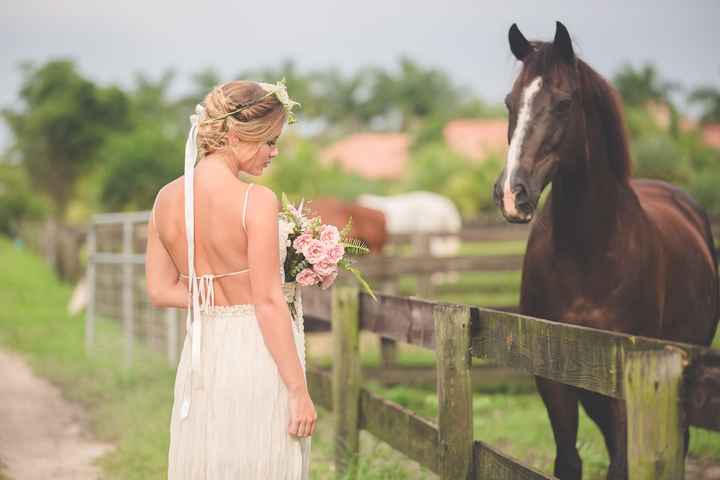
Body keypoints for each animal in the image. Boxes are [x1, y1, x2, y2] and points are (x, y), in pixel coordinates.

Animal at [492, 21, 720, 480]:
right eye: (511, 101)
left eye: (563, 103)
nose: (511, 194)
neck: (587, 255)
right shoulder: (556, 380)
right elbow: (569, 461)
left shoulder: (625, 386)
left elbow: (622, 465)